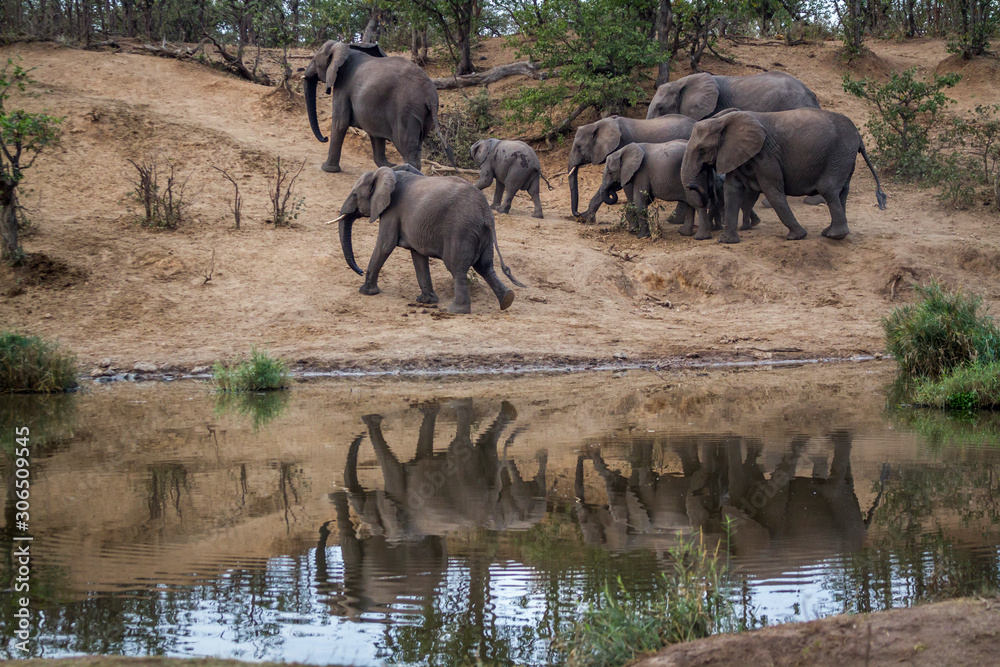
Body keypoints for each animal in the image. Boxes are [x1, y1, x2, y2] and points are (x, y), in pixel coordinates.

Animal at [304, 40, 453, 173]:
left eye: (314, 61)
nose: (325, 138)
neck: (344, 47)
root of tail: (430, 94)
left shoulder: (343, 85)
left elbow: (340, 123)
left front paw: (327, 169)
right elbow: (375, 131)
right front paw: (387, 166)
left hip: (407, 109)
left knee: (405, 144)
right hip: (425, 114)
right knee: (418, 144)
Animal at [333, 165, 524, 314]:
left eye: (355, 195)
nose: (359, 271)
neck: (386, 172)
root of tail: (485, 211)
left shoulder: (392, 211)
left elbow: (385, 245)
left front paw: (365, 292)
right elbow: (417, 255)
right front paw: (426, 301)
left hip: (461, 231)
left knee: (457, 267)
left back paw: (456, 310)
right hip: (483, 233)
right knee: (485, 266)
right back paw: (507, 300)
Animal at [568, 114, 696, 222]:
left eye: (578, 147)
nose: (577, 213)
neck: (598, 124)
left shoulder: (623, 145)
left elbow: (625, 184)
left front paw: (585, 218)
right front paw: (586, 218)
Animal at [680, 108, 887, 243]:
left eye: (702, 149)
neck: (724, 120)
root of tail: (859, 138)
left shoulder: (766, 156)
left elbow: (773, 192)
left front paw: (797, 236)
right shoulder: (738, 153)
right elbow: (731, 190)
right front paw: (727, 241)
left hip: (838, 155)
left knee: (829, 190)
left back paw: (834, 235)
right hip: (844, 159)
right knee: (841, 192)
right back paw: (831, 233)